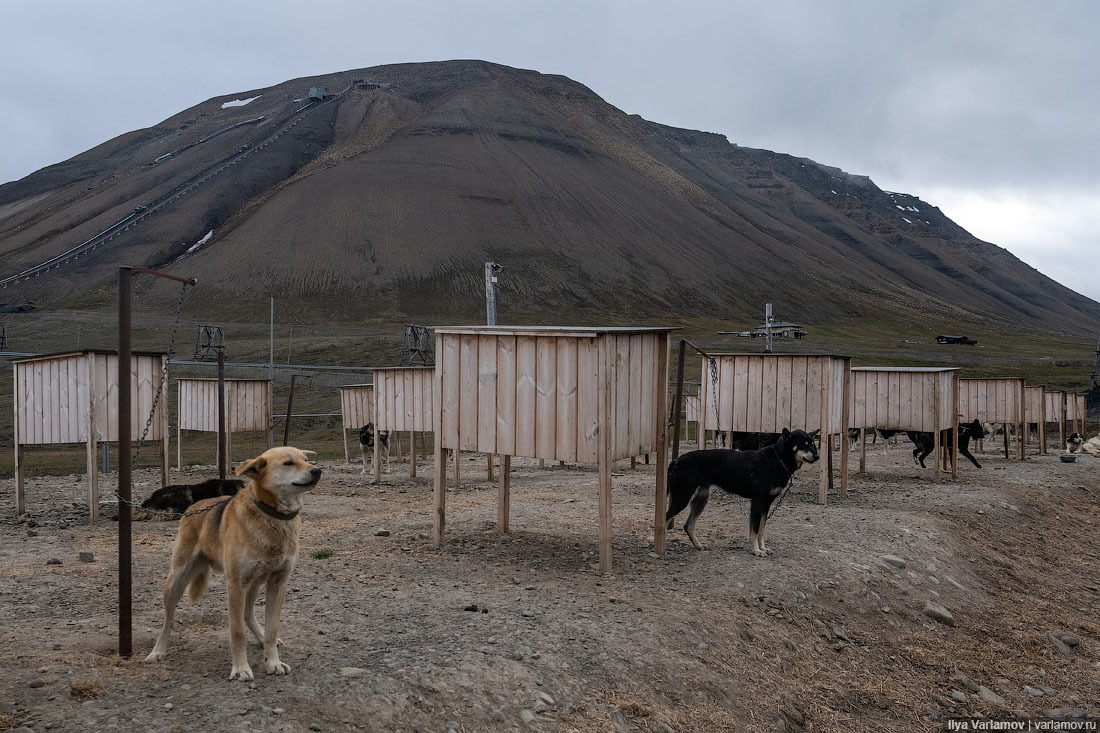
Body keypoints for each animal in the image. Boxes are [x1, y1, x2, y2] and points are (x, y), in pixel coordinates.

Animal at [145, 444, 321, 677]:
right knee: (169, 620)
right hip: (177, 580)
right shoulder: (235, 585)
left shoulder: (278, 583)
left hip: (254, 583)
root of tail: (195, 505)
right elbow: (237, 632)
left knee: (247, 614)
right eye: (288, 463)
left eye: (305, 460)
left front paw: (272, 661)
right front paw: (240, 669)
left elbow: (272, 629)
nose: (317, 470)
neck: (271, 517)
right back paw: (158, 651)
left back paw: (260, 637)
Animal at [660, 429, 818, 554]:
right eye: (803, 444)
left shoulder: (766, 504)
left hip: (700, 499)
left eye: (813, 443)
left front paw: (762, 548)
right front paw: (756, 551)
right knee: (665, 519)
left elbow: (761, 530)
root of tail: (676, 461)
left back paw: (699, 546)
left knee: (688, 525)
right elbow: (754, 530)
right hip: (682, 498)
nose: (817, 456)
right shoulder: (757, 502)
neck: (778, 459)